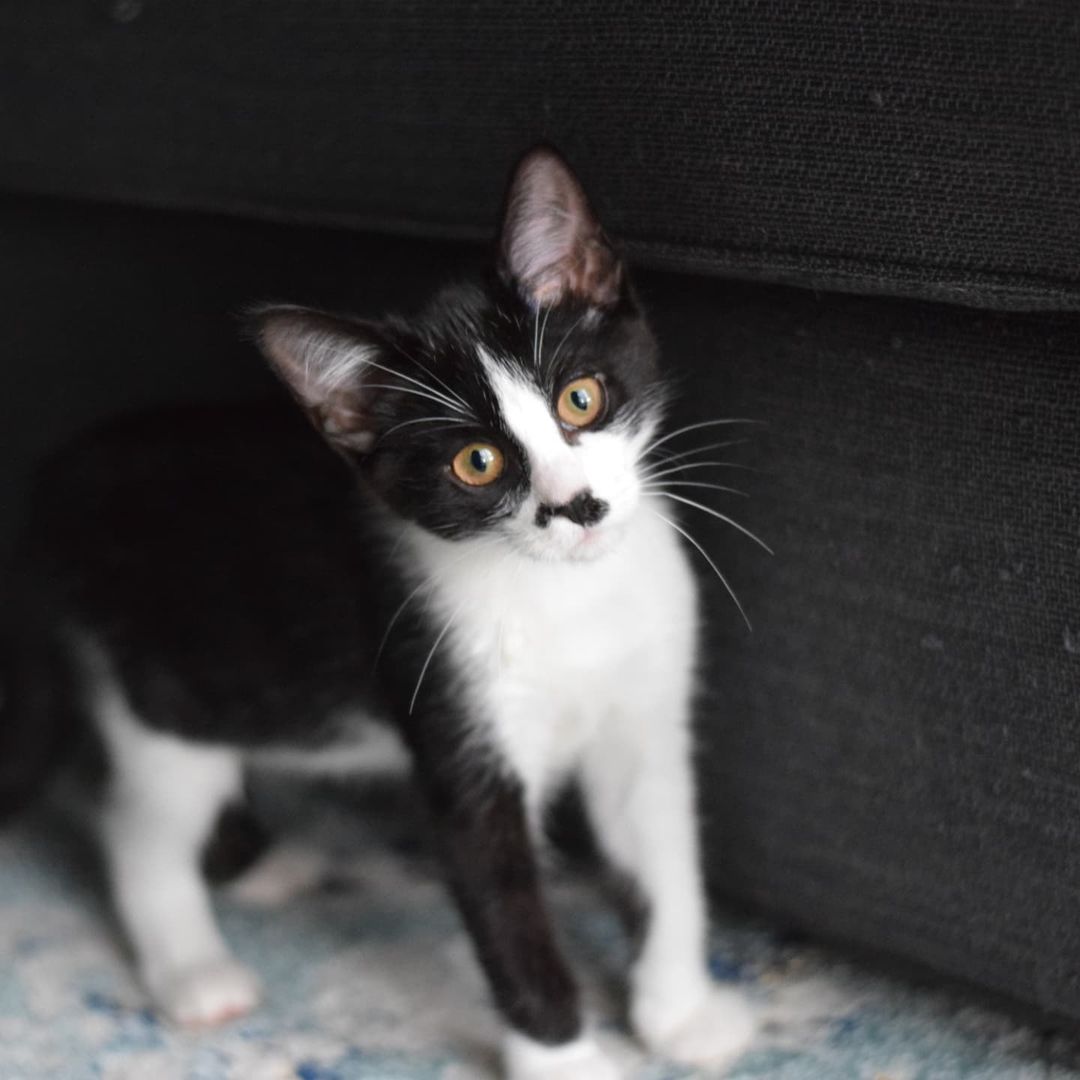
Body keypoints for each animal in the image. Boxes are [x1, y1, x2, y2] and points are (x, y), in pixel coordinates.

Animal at [2, 147, 760, 1075]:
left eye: (582, 398)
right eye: (477, 462)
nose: (575, 506)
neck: (565, 596)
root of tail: (48, 485)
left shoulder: (643, 714)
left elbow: (664, 857)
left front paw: (681, 1016)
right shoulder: (459, 733)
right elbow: (509, 915)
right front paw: (565, 1060)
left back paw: (266, 866)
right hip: (158, 678)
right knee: (138, 823)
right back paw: (195, 971)